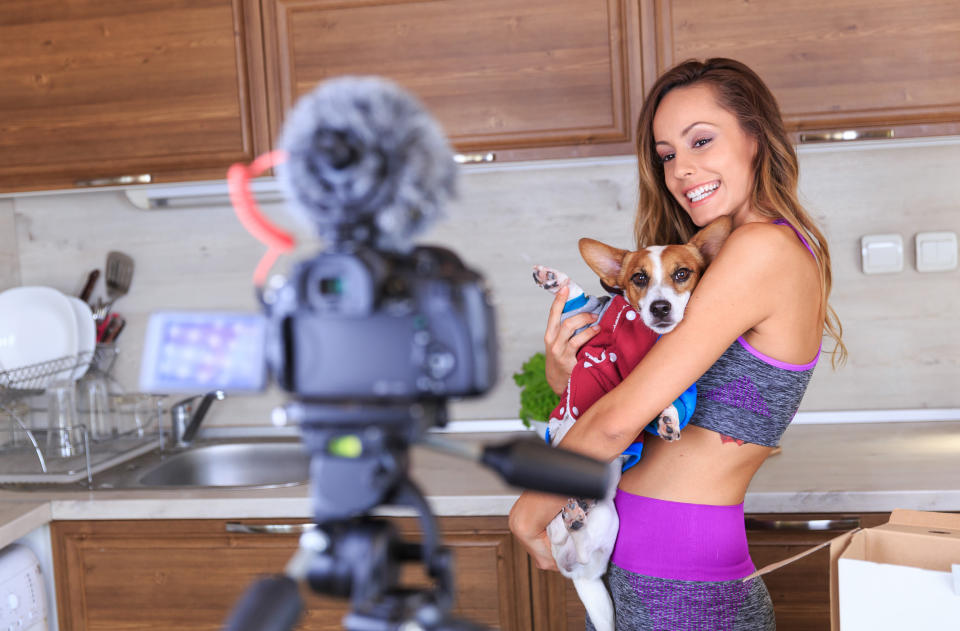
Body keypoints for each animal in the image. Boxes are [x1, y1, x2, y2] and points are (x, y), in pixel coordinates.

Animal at [536, 216, 732, 631]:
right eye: (638, 278)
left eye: (682, 273)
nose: (660, 307)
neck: (645, 337)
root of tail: (580, 576)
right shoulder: (584, 330)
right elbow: (575, 299)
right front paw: (552, 277)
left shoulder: (677, 379)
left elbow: (672, 402)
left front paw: (667, 420)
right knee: (559, 540)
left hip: (607, 524)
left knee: (575, 543)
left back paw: (575, 517)